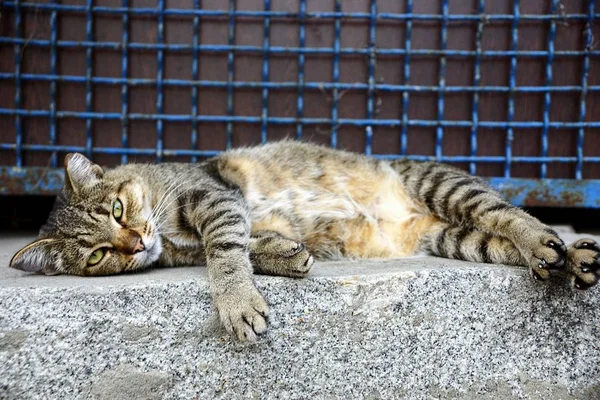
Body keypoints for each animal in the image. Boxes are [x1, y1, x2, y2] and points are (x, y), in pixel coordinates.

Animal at [9, 140, 600, 340]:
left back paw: (551, 244)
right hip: (453, 238)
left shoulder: (213, 198)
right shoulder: (212, 226)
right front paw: (284, 254)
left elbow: (225, 252)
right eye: (97, 255)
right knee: (504, 243)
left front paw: (237, 304)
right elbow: (246, 245)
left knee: (514, 217)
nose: (134, 244)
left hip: (446, 187)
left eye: (116, 209)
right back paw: (573, 261)